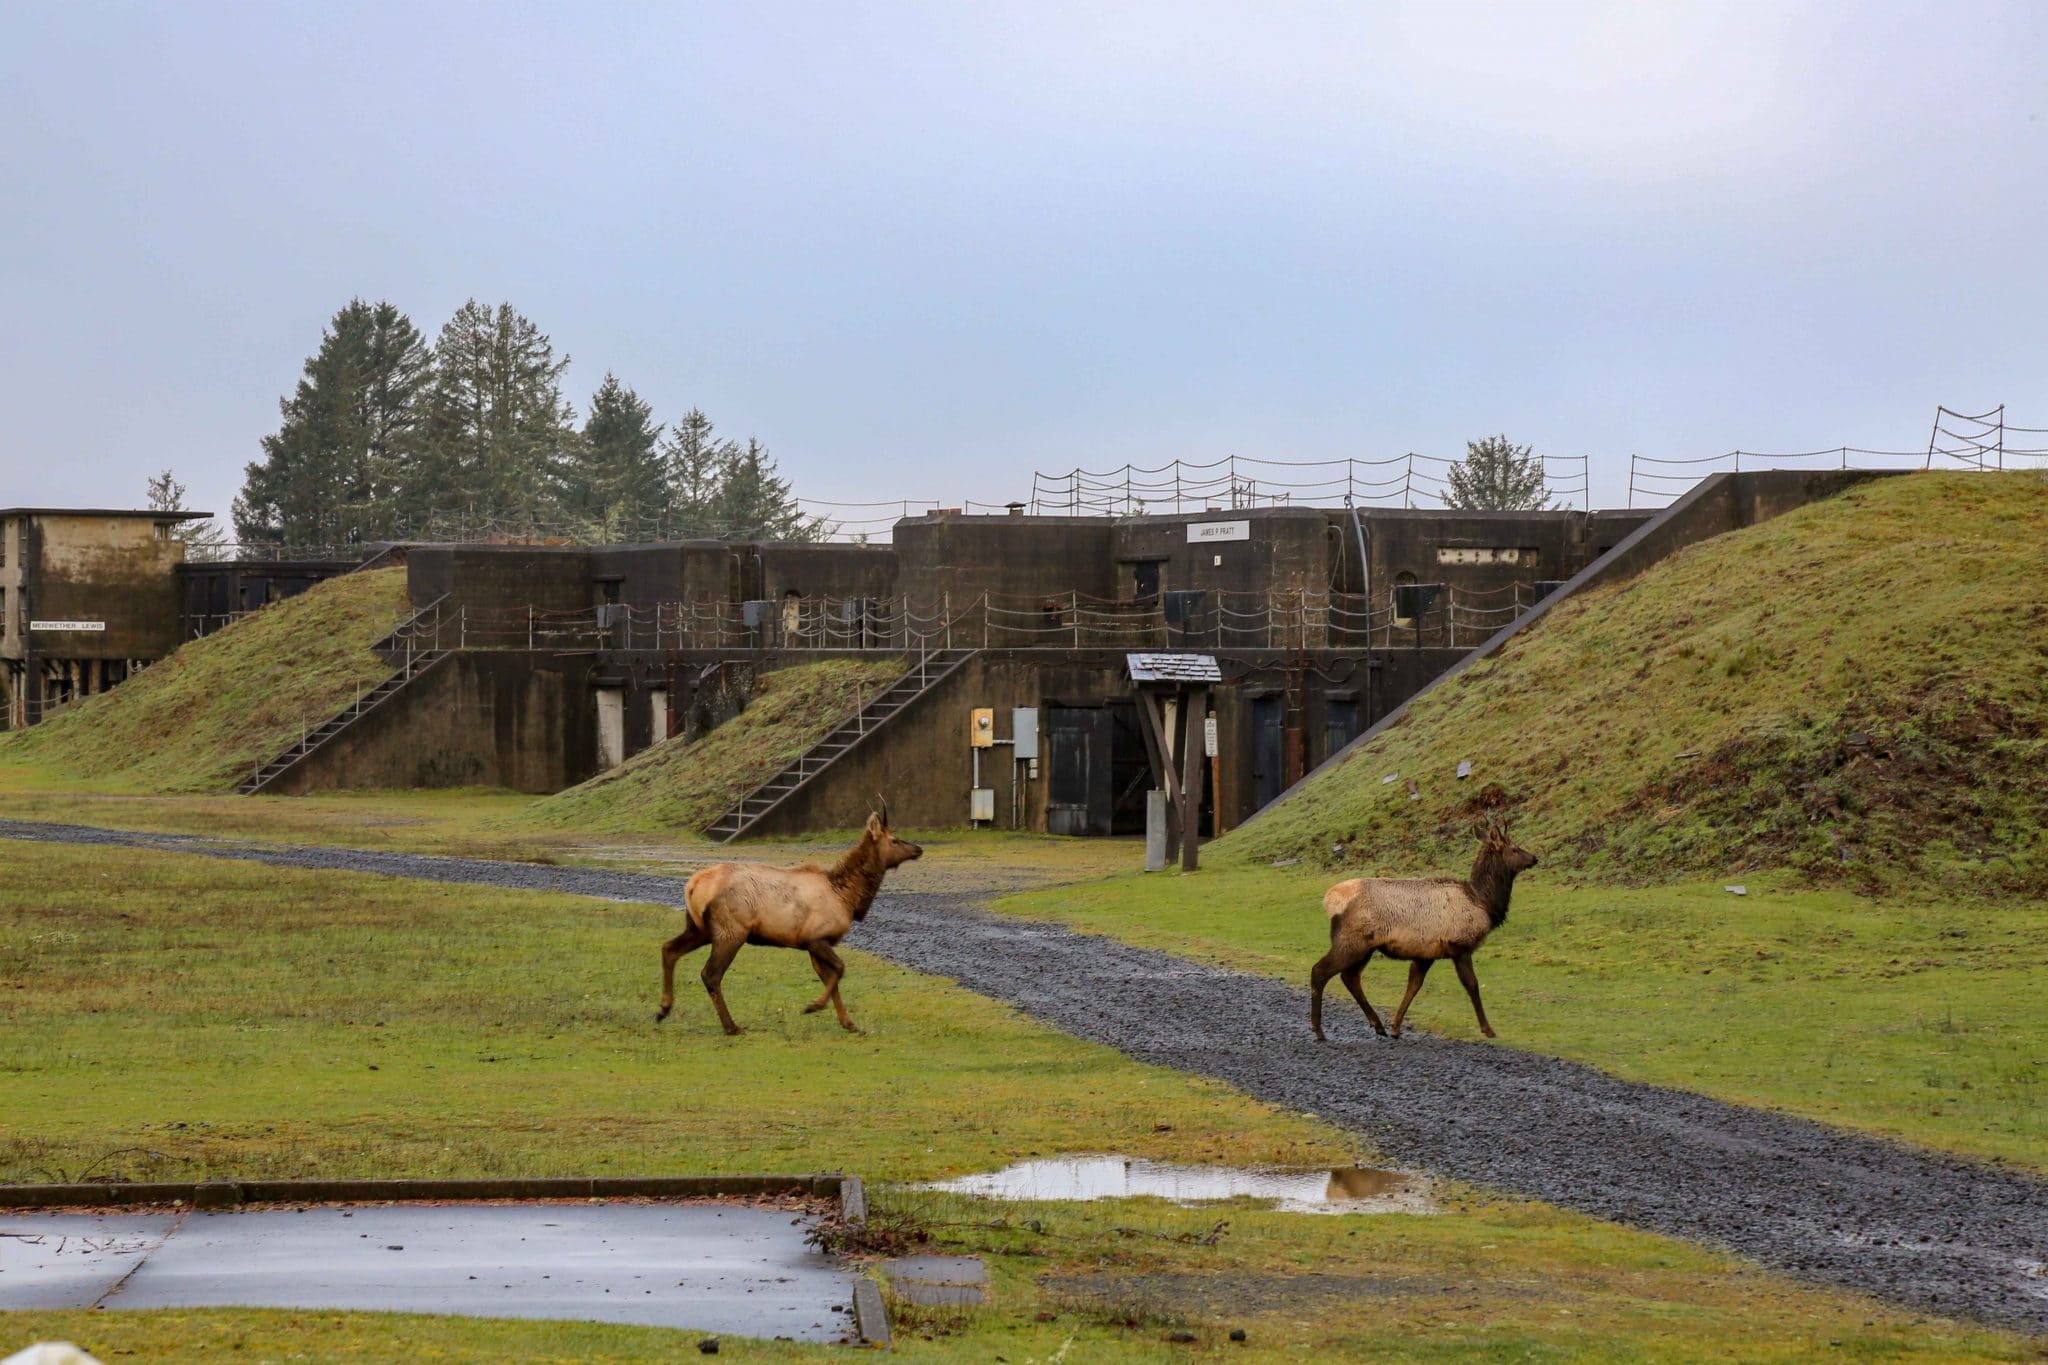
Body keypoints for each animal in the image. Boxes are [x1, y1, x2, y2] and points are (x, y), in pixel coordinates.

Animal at [655, 802, 921, 1035]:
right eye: (894, 839)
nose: (918, 848)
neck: (847, 899)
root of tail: (693, 885)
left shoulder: (812, 945)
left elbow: (830, 978)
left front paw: (849, 1024)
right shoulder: (816, 937)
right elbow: (840, 970)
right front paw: (813, 1006)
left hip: (699, 928)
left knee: (669, 948)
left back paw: (663, 1009)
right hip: (730, 931)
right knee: (710, 974)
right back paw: (731, 1027)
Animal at [1310, 822, 1540, 1047]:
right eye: (1514, 848)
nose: (1534, 858)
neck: (1483, 902)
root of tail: (1329, 901)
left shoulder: (1425, 954)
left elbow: (1413, 986)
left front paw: (1395, 1027)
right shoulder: (1460, 946)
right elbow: (1472, 985)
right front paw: (1488, 1029)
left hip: (1365, 947)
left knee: (1350, 977)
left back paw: (1377, 1025)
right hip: (1352, 942)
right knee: (1320, 971)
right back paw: (1318, 1030)